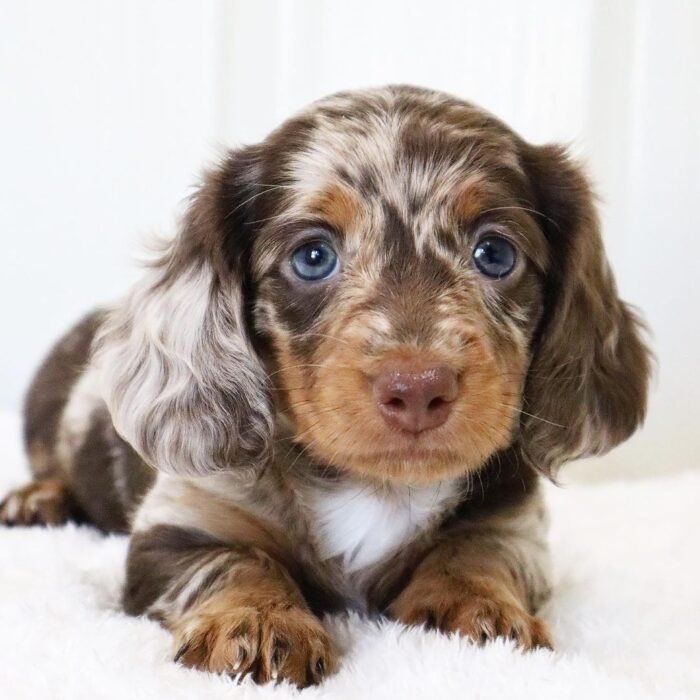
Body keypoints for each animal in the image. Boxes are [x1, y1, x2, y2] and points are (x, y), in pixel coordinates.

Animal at [2, 86, 652, 684]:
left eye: (495, 252)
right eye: (313, 256)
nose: (417, 388)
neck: (376, 488)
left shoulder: (516, 526)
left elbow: (477, 550)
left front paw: (476, 607)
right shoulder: (181, 524)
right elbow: (237, 559)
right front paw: (259, 620)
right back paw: (38, 499)